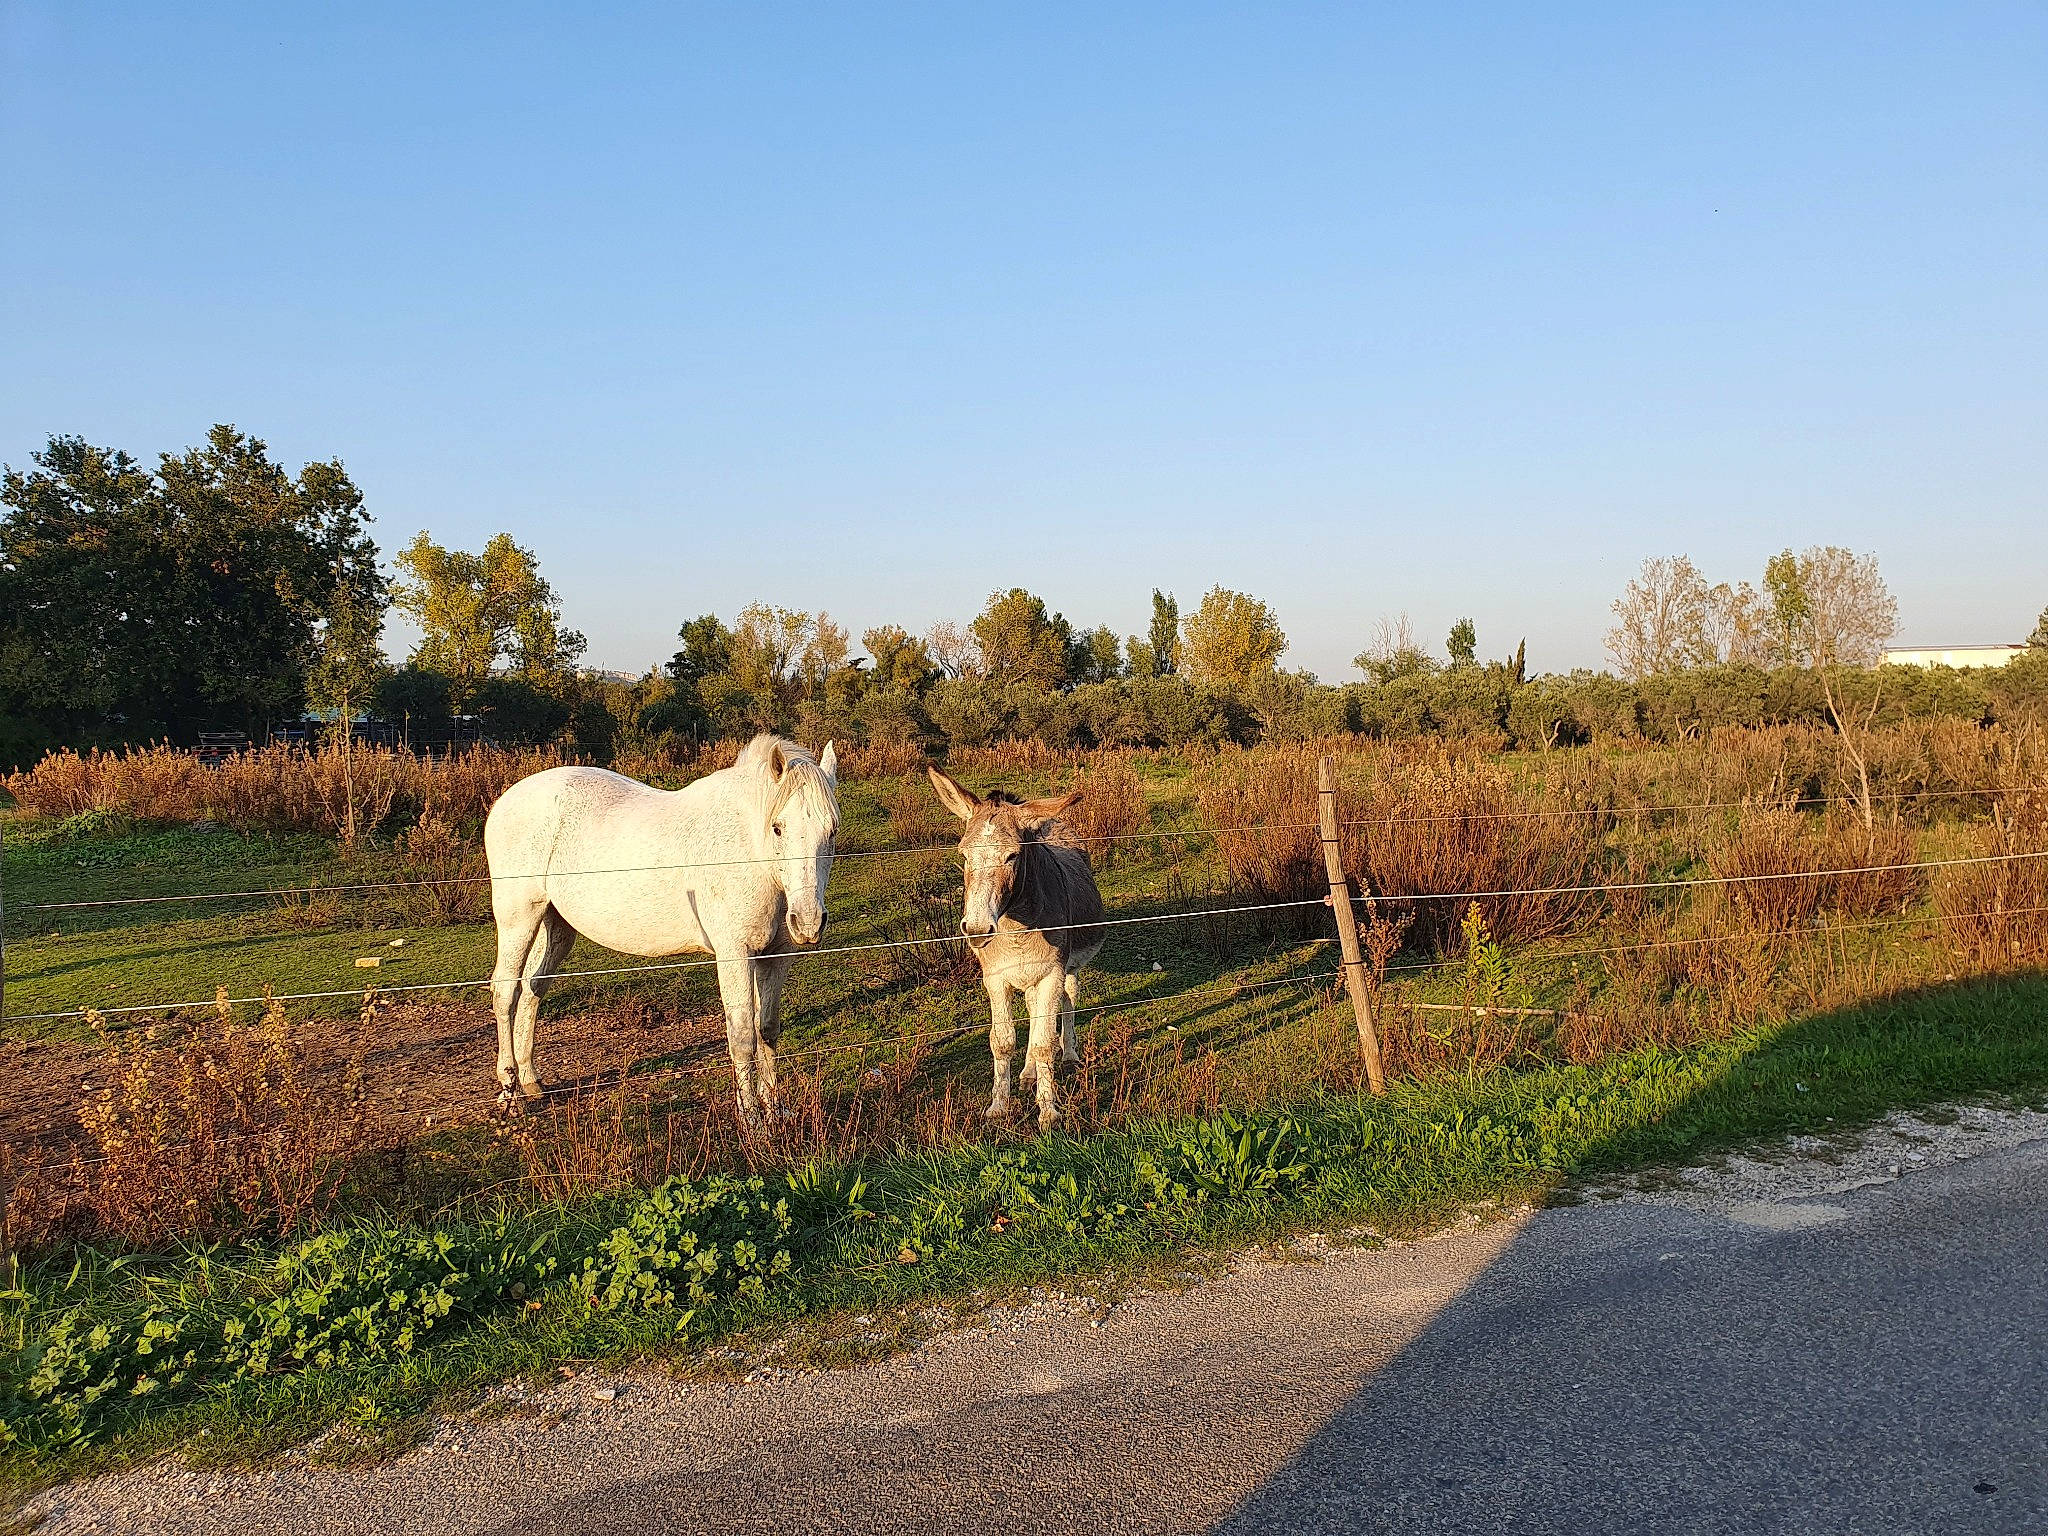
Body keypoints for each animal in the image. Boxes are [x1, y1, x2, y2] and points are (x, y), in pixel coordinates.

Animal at [482, 734, 839, 1127]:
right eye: (778, 827)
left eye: (831, 830)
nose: (808, 921)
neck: (751, 854)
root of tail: (505, 801)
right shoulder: (735, 954)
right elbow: (743, 1036)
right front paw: (752, 1121)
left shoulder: (776, 956)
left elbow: (768, 1031)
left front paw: (775, 1110)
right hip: (519, 919)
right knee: (505, 992)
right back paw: (509, 1092)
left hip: (555, 926)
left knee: (533, 989)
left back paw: (531, 1081)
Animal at [926, 765, 1105, 1128]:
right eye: (963, 854)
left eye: (1012, 856)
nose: (977, 929)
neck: (1018, 932)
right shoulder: (996, 979)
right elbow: (1002, 1041)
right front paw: (999, 1106)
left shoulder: (1051, 973)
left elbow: (1045, 1042)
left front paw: (1049, 1112)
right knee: (1035, 1014)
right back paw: (1028, 1074)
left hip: (1067, 969)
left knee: (1067, 1000)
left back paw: (1069, 1055)